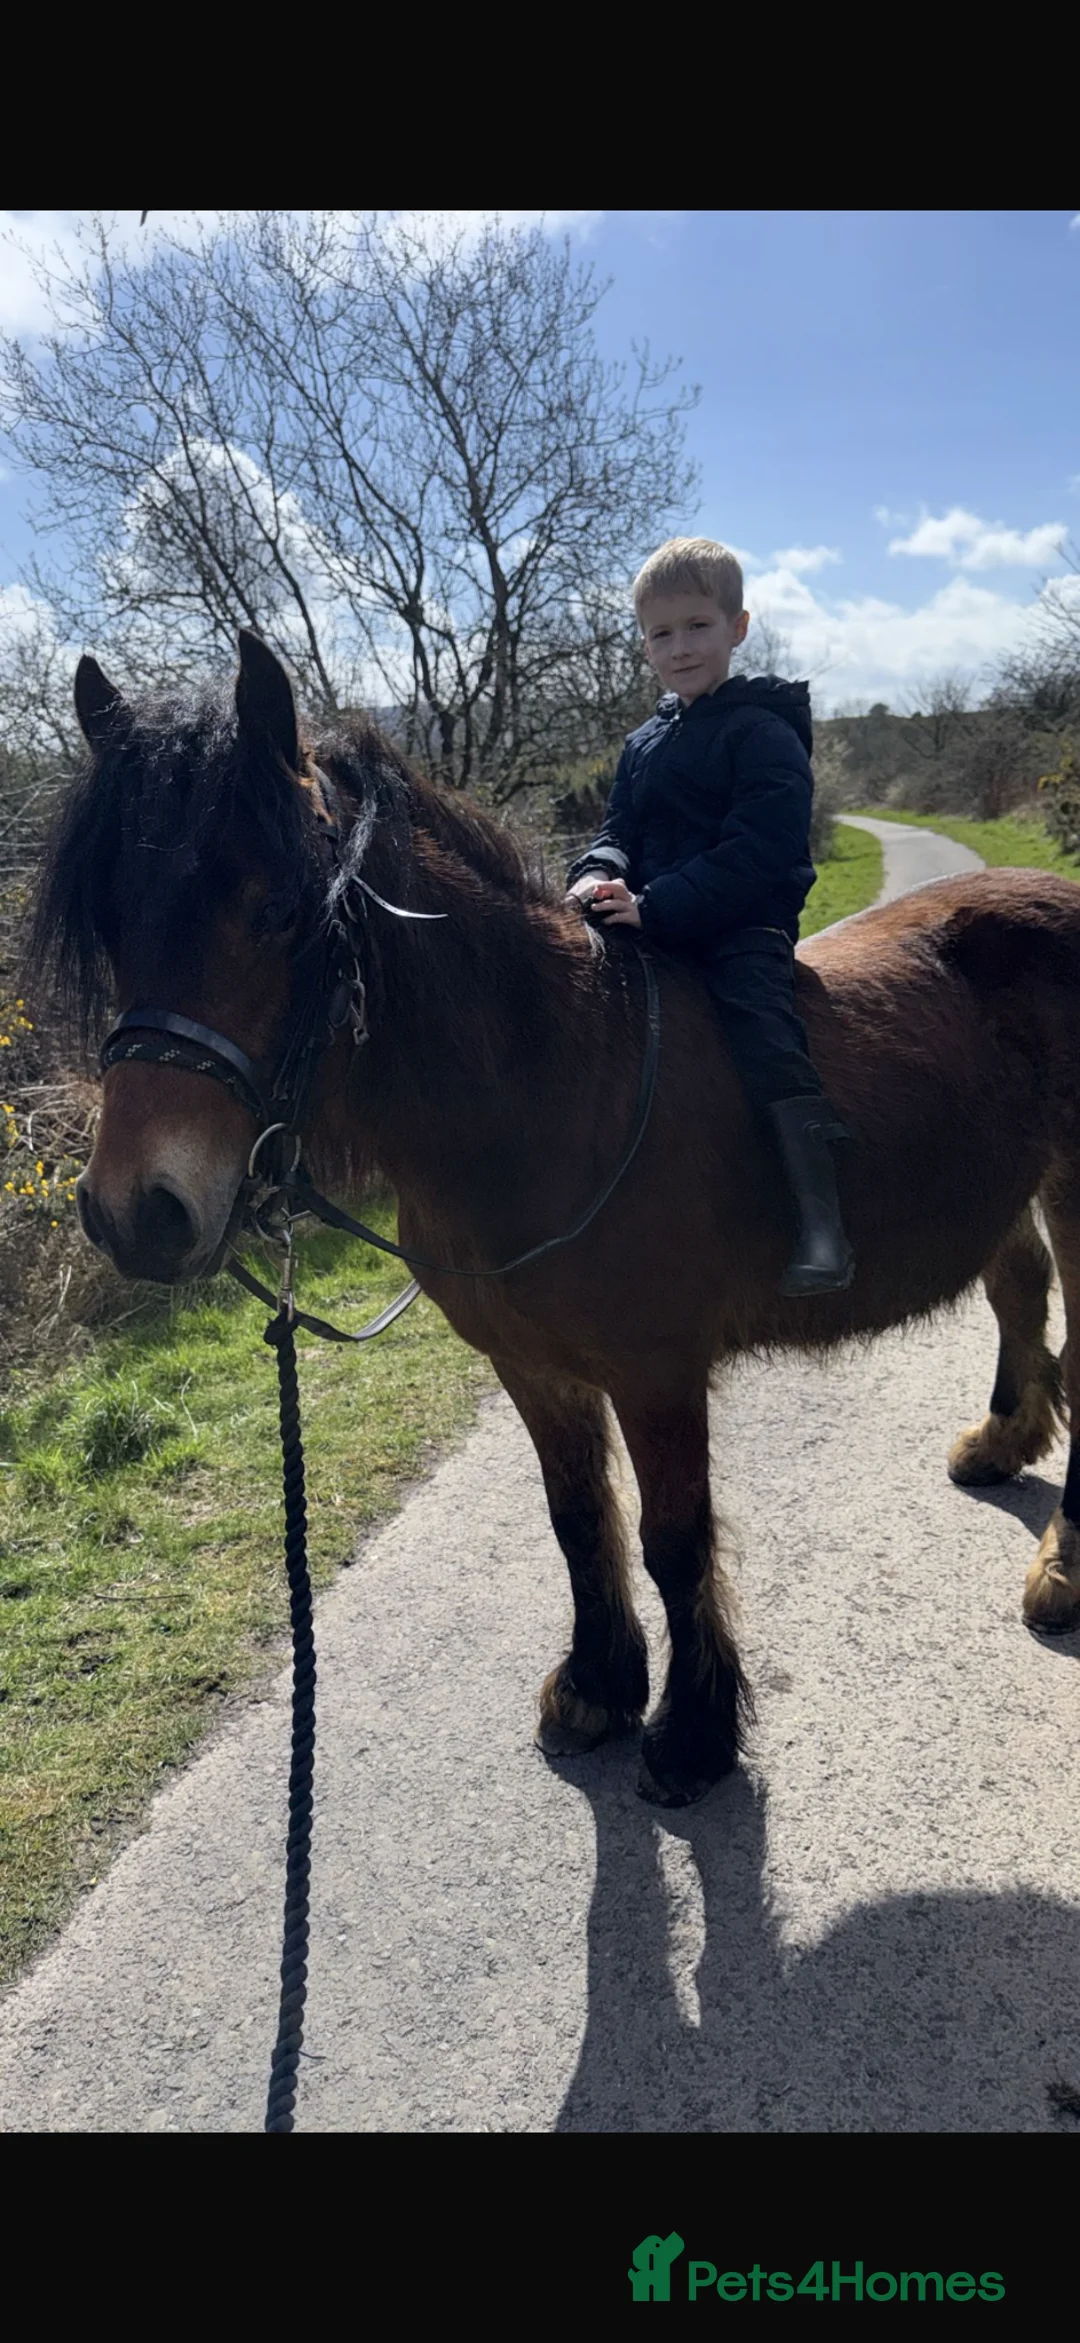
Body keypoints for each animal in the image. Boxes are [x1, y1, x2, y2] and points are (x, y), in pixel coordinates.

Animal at [28, 630, 1080, 1808]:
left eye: (278, 910)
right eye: (114, 921)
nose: (135, 1212)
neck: (549, 1083)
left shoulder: (657, 1370)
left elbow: (674, 1540)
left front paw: (691, 1734)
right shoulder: (530, 1363)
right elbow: (577, 1521)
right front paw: (598, 1687)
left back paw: (1062, 1571)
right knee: (1017, 1289)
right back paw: (1002, 1438)